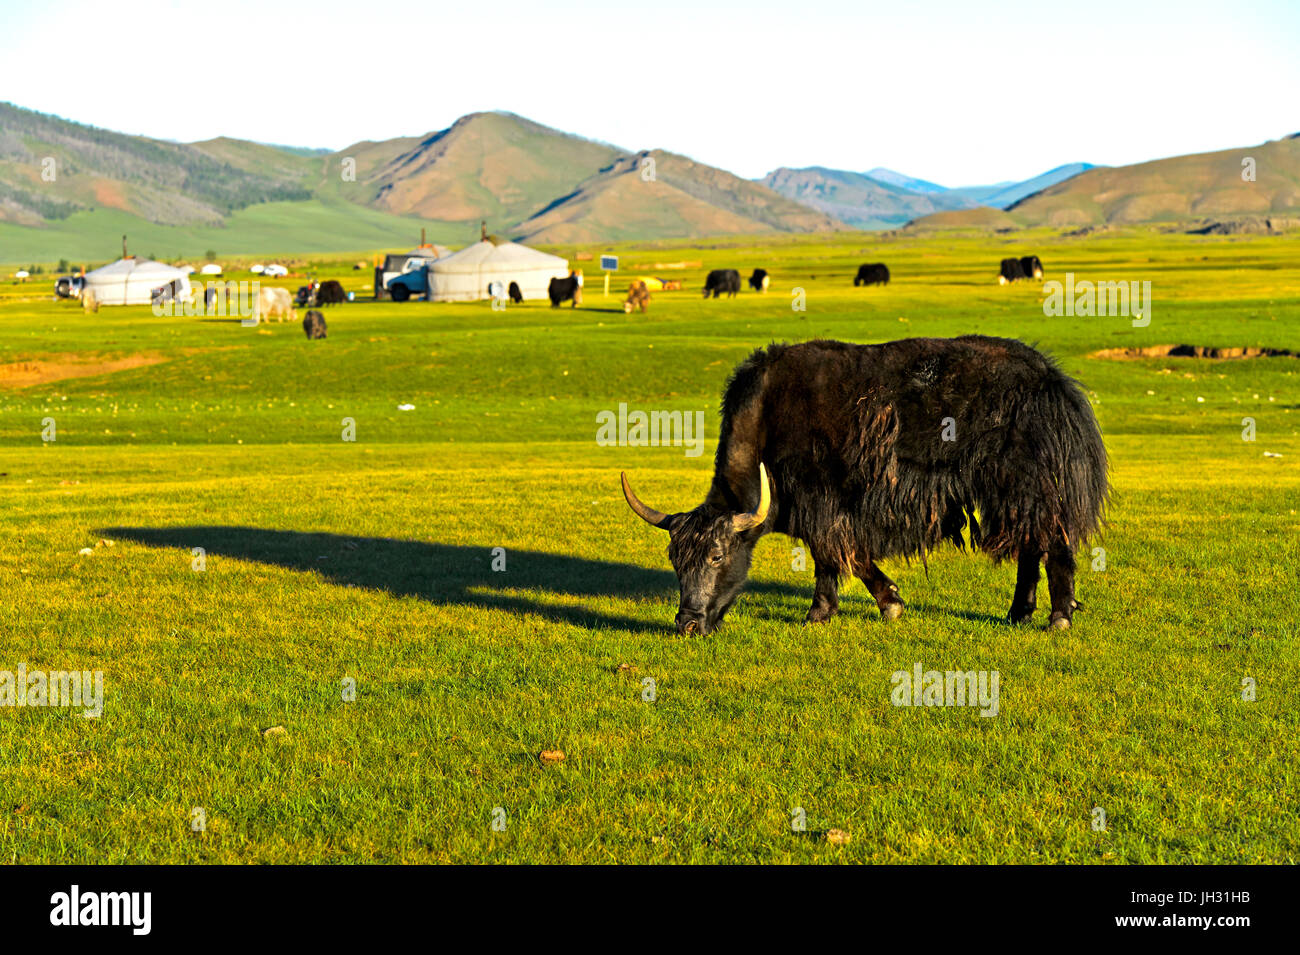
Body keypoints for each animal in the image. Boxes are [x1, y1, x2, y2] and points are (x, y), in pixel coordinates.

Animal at [618, 335, 1107, 634]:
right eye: (674, 559)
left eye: (717, 556)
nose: (687, 624)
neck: (766, 418)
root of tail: (1053, 380)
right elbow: (849, 554)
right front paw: (884, 603)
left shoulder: (820, 501)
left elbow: (830, 553)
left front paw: (823, 613)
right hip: (1012, 494)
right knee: (1030, 545)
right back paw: (1017, 613)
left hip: (1028, 484)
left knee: (1052, 541)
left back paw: (1058, 616)